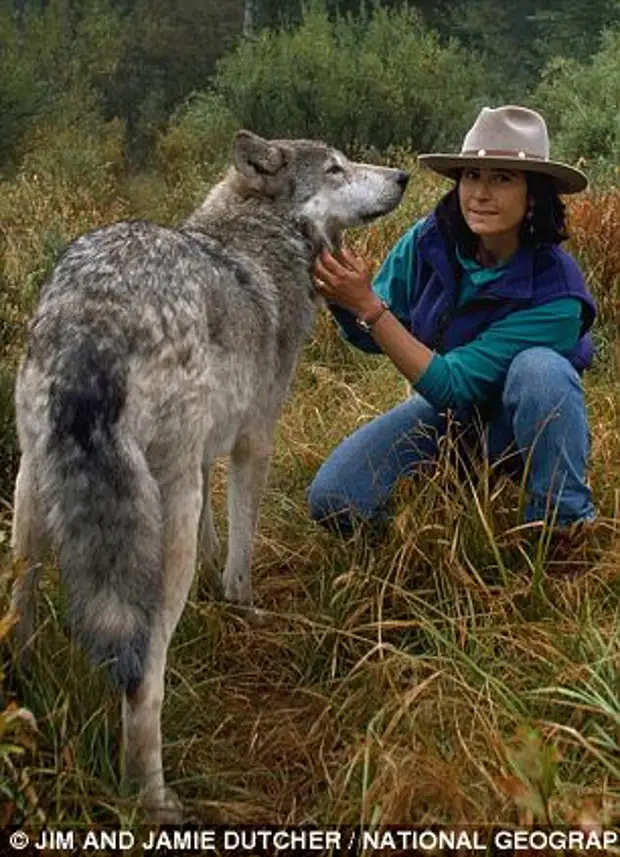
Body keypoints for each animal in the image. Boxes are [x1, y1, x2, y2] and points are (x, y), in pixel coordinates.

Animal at [9, 130, 410, 820]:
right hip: (154, 529)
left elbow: (215, 534)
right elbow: (242, 546)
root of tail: (93, 322)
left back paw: (25, 703)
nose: (404, 178)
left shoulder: (202, 459)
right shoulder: (253, 442)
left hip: (31, 504)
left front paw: (215, 583)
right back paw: (153, 802)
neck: (257, 238)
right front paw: (242, 605)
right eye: (335, 168)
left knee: (19, 624)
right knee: (143, 679)